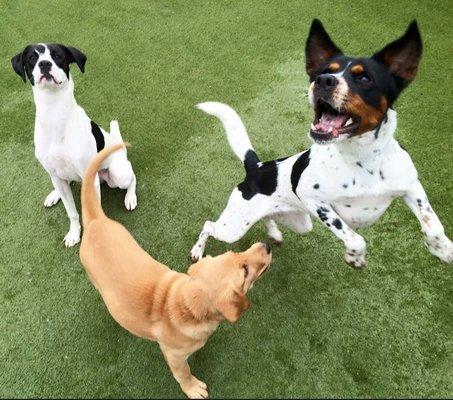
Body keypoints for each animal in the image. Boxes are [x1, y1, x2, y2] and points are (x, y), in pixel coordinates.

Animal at [11, 45, 136, 248]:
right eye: (32, 58)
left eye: (58, 56)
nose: (44, 64)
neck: (54, 112)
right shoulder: (55, 175)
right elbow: (72, 212)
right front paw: (74, 233)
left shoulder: (89, 178)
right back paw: (54, 194)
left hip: (118, 174)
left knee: (132, 176)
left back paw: (130, 197)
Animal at [79, 145, 270, 398]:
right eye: (245, 271)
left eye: (234, 254)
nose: (267, 246)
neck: (183, 302)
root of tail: (94, 221)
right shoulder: (175, 356)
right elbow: (183, 374)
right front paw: (193, 388)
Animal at [190, 20, 452, 268]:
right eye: (325, 71)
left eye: (364, 77)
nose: (322, 80)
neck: (365, 160)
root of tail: (257, 166)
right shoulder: (315, 201)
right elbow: (355, 238)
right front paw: (355, 258)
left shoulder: (411, 185)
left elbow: (433, 225)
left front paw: (443, 249)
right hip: (233, 227)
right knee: (209, 225)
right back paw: (197, 252)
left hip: (298, 222)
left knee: (266, 218)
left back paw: (274, 232)